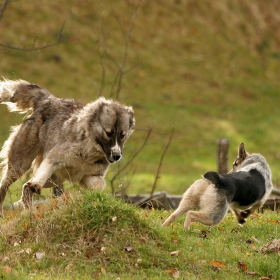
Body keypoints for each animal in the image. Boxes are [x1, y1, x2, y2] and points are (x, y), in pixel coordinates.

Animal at [0, 79, 135, 217]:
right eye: (108, 133)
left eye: (122, 135)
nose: (117, 156)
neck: (89, 151)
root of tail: (48, 100)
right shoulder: (54, 157)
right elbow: (43, 172)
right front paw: (37, 184)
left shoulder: (91, 176)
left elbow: (100, 184)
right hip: (20, 166)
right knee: (4, 185)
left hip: (55, 179)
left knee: (25, 187)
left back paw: (30, 212)